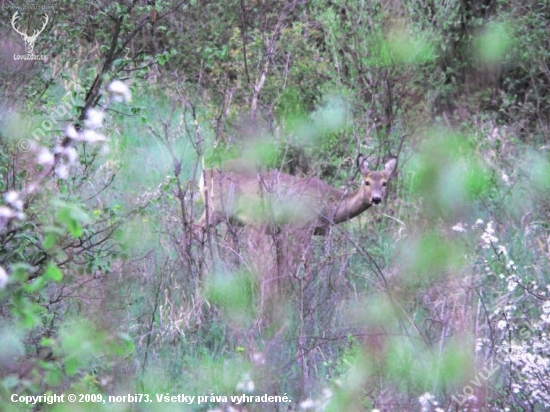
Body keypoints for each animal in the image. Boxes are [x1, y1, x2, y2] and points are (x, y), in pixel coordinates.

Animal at [197, 154, 396, 235]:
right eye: (367, 182)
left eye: (385, 183)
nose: (376, 199)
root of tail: (204, 174)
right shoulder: (299, 226)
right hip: (216, 209)